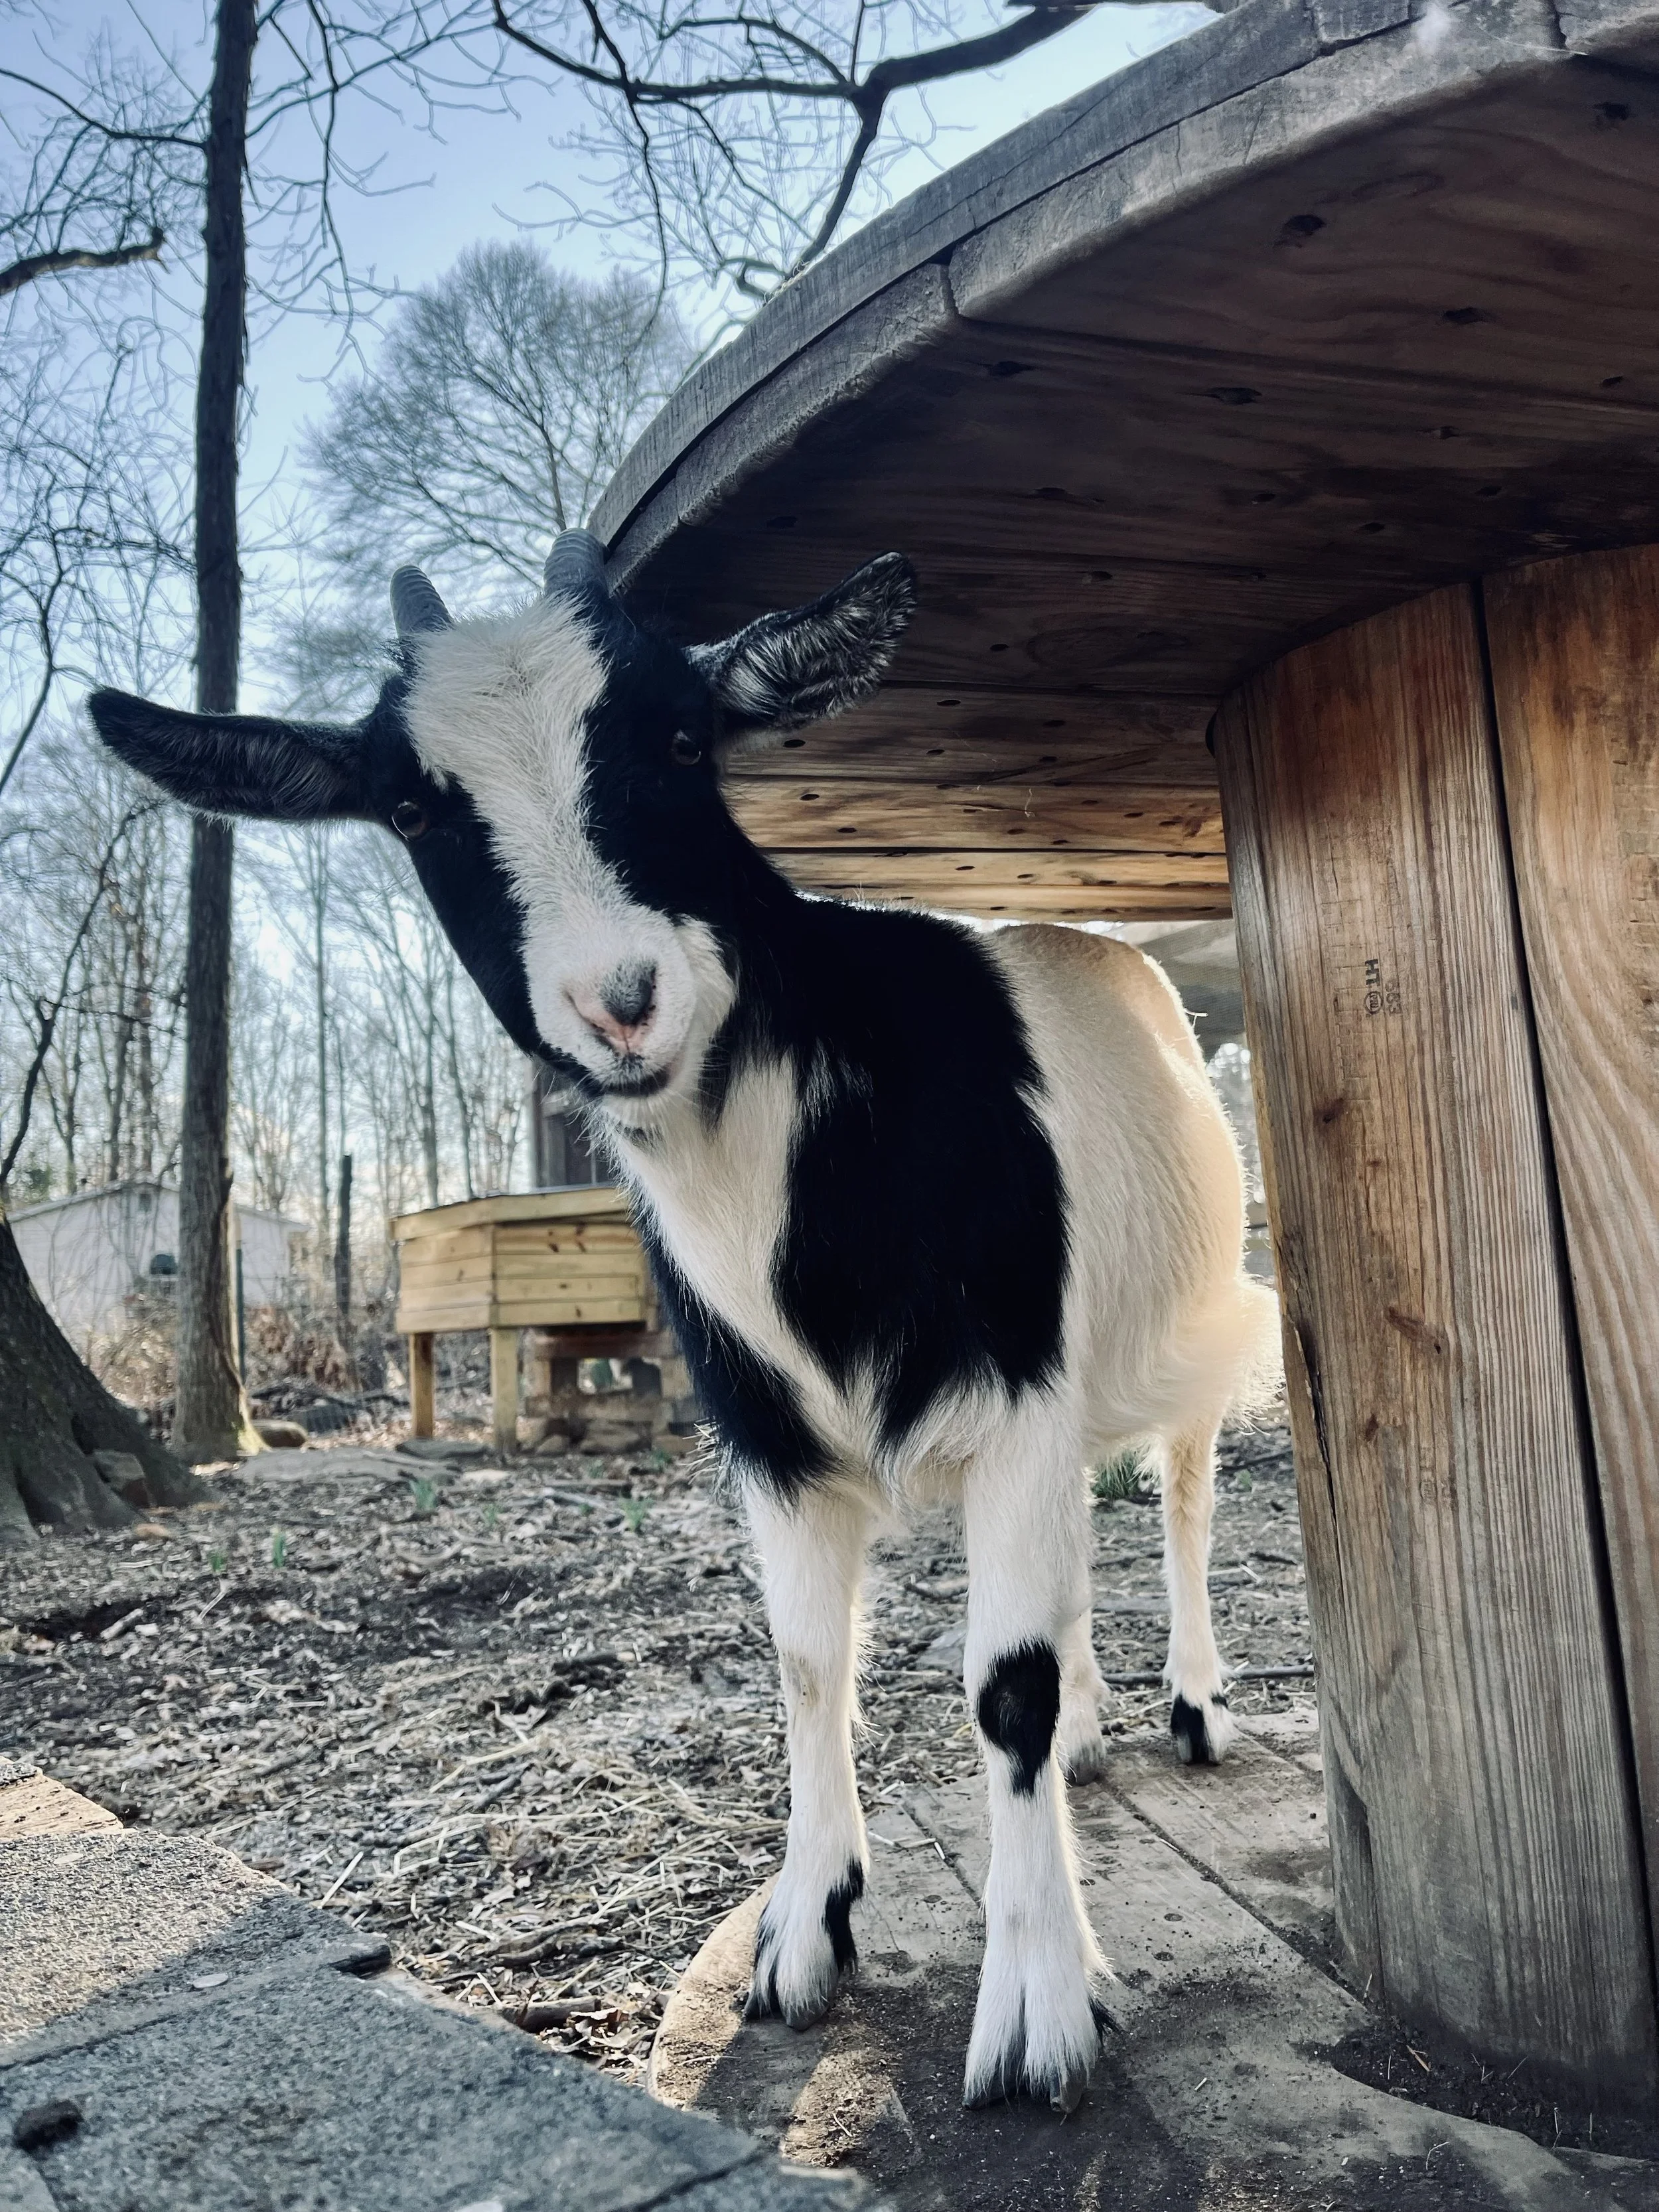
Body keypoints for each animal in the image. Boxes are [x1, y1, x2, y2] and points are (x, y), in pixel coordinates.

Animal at [88, 534, 1277, 2113]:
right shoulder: (768, 1433)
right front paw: (806, 1920)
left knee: (1187, 1491)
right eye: (411, 805)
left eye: (677, 737)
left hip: (1195, 1315)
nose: (621, 1003)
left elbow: (1000, 1689)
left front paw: (1034, 2009)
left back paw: (1194, 1705)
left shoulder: (1016, 1380)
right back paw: (1094, 1730)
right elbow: (807, 1662)